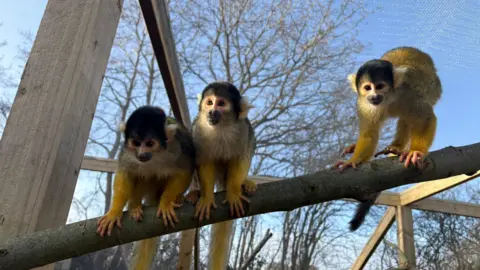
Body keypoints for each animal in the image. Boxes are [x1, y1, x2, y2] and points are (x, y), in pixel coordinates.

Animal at [96, 105, 196, 270]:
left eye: (149, 144)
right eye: (136, 143)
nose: (142, 154)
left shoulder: (177, 146)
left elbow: (185, 171)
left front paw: (166, 202)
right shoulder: (128, 151)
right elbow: (126, 172)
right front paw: (114, 212)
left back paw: (175, 197)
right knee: (142, 173)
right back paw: (134, 205)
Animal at [188, 81, 256, 270]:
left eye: (221, 104)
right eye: (209, 102)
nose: (211, 112)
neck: (220, 127)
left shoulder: (243, 129)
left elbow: (241, 157)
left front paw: (233, 192)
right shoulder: (198, 129)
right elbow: (203, 160)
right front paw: (207, 197)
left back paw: (245, 183)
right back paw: (195, 192)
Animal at [334, 46, 442, 230]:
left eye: (379, 86)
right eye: (367, 88)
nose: (374, 96)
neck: (388, 98)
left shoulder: (409, 94)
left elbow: (426, 118)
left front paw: (416, 152)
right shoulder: (363, 103)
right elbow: (369, 134)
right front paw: (353, 161)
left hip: (434, 89)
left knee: (409, 117)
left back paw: (399, 147)